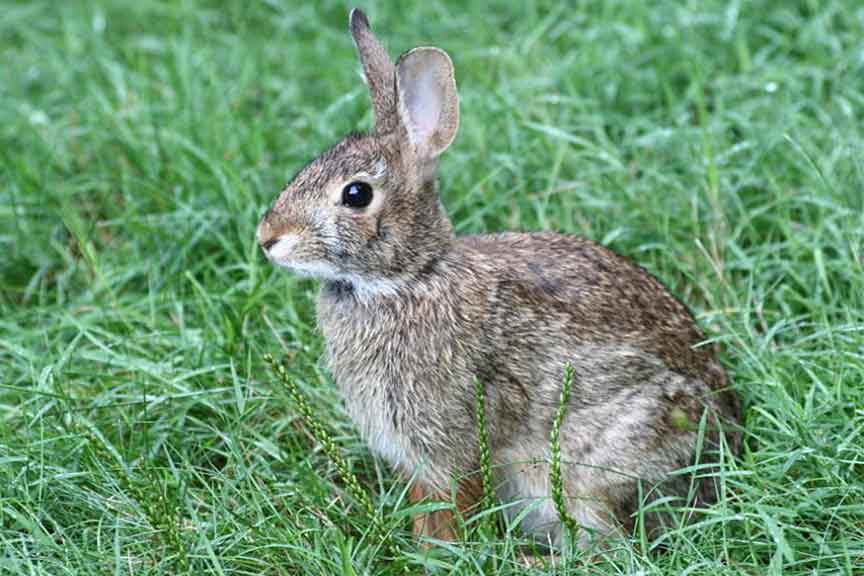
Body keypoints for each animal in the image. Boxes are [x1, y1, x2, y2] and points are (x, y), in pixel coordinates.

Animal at [257, 8, 741, 547]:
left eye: (356, 194)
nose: (267, 236)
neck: (410, 277)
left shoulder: (449, 442)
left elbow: (449, 506)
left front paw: (436, 552)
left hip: (588, 469)